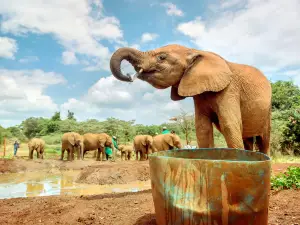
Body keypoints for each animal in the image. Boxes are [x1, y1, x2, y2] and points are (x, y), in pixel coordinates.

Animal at [109, 44, 272, 156]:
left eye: (161, 57)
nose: (129, 76)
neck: (194, 50)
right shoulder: (199, 94)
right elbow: (202, 128)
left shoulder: (229, 89)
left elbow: (229, 125)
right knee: (248, 139)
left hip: (267, 111)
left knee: (264, 140)